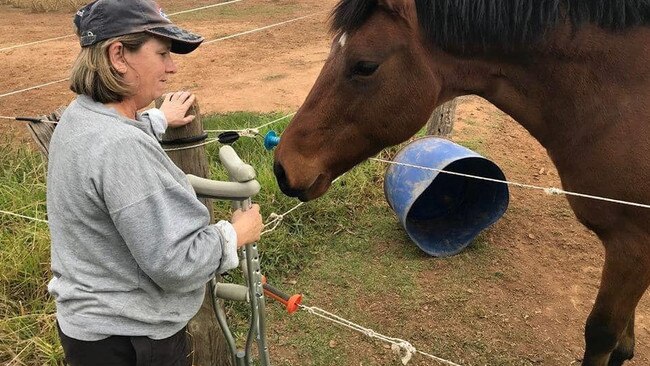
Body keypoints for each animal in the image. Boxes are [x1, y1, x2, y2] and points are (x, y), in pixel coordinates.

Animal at [270, 0, 648, 366]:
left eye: (364, 66)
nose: (282, 167)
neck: (619, 101)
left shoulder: (630, 243)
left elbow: (603, 334)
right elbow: (623, 341)